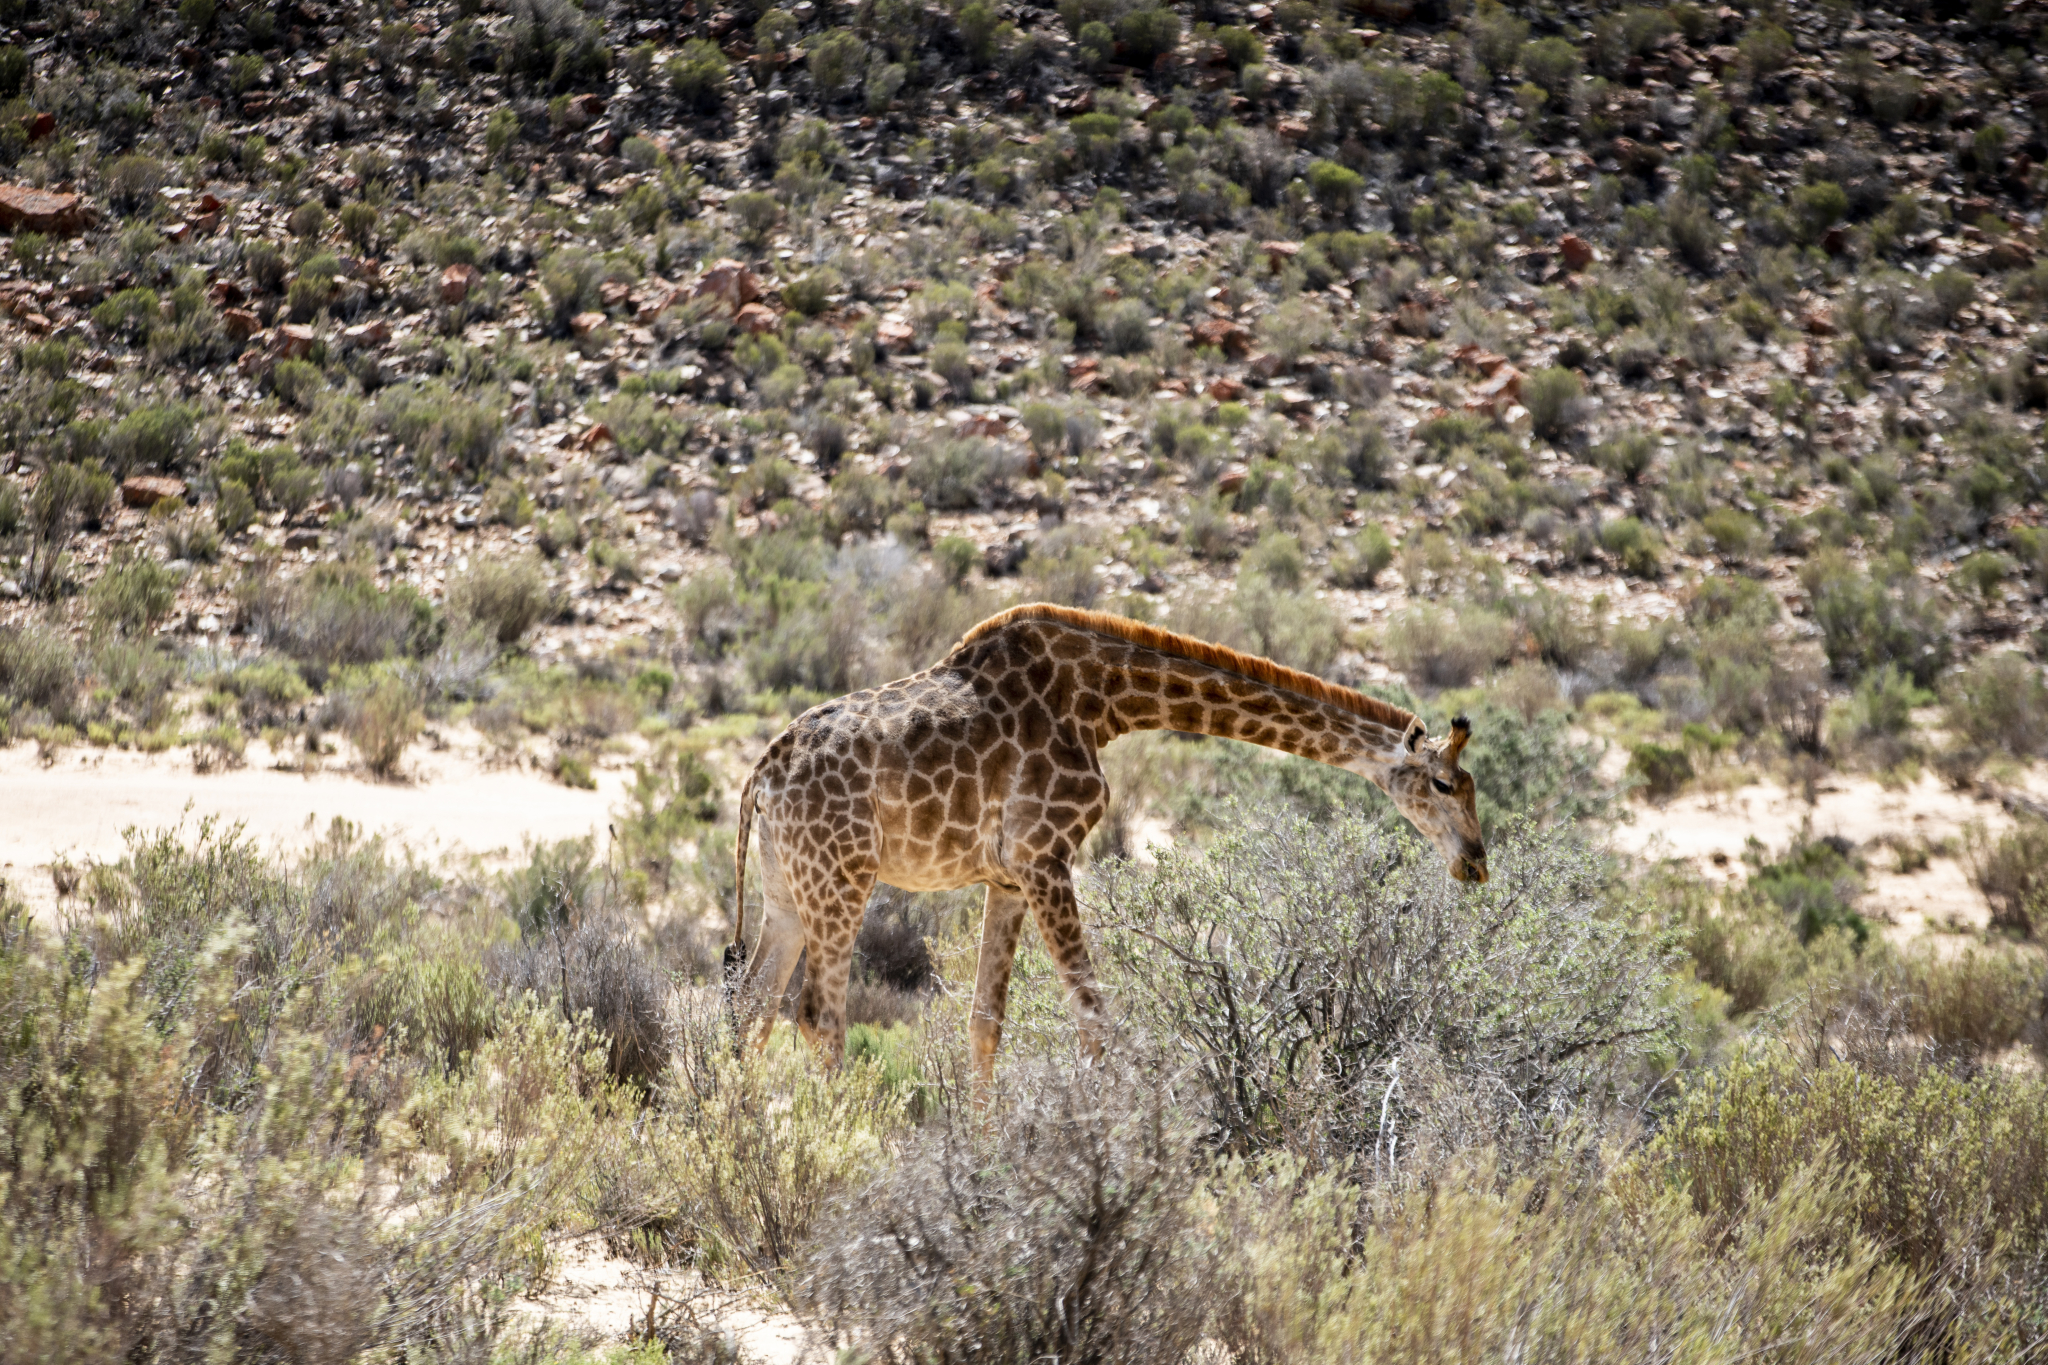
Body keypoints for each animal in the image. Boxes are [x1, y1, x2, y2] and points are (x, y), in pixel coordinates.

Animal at [724, 601, 1490, 1080]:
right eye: (1446, 784)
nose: (1476, 863)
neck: (1105, 701)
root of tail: (762, 772)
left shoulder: (1007, 875)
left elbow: (986, 1021)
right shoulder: (1045, 856)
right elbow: (1095, 1018)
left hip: (786, 887)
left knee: (751, 1004)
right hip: (841, 878)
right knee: (818, 1015)